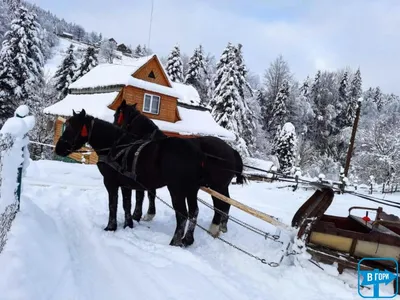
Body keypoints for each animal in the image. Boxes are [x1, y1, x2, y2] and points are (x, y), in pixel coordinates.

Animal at [54, 108, 206, 246]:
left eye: (73, 128)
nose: (58, 148)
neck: (115, 147)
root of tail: (196, 153)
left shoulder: (110, 182)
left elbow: (113, 204)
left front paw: (111, 227)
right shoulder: (126, 184)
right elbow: (126, 204)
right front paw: (128, 224)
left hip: (176, 189)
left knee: (182, 214)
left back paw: (175, 242)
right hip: (192, 189)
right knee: (194, 212)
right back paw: (188, 240)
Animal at [113, 100, 247, 237]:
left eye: (116, 115)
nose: (114, 127)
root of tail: (232, 151)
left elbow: (144, 195)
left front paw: (141, 215)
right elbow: (151, 194)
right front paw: (149, 214)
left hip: (217, 187)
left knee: (219, 206)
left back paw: (213, 228)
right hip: (222, 187)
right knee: (226, 204)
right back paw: (222, 226)